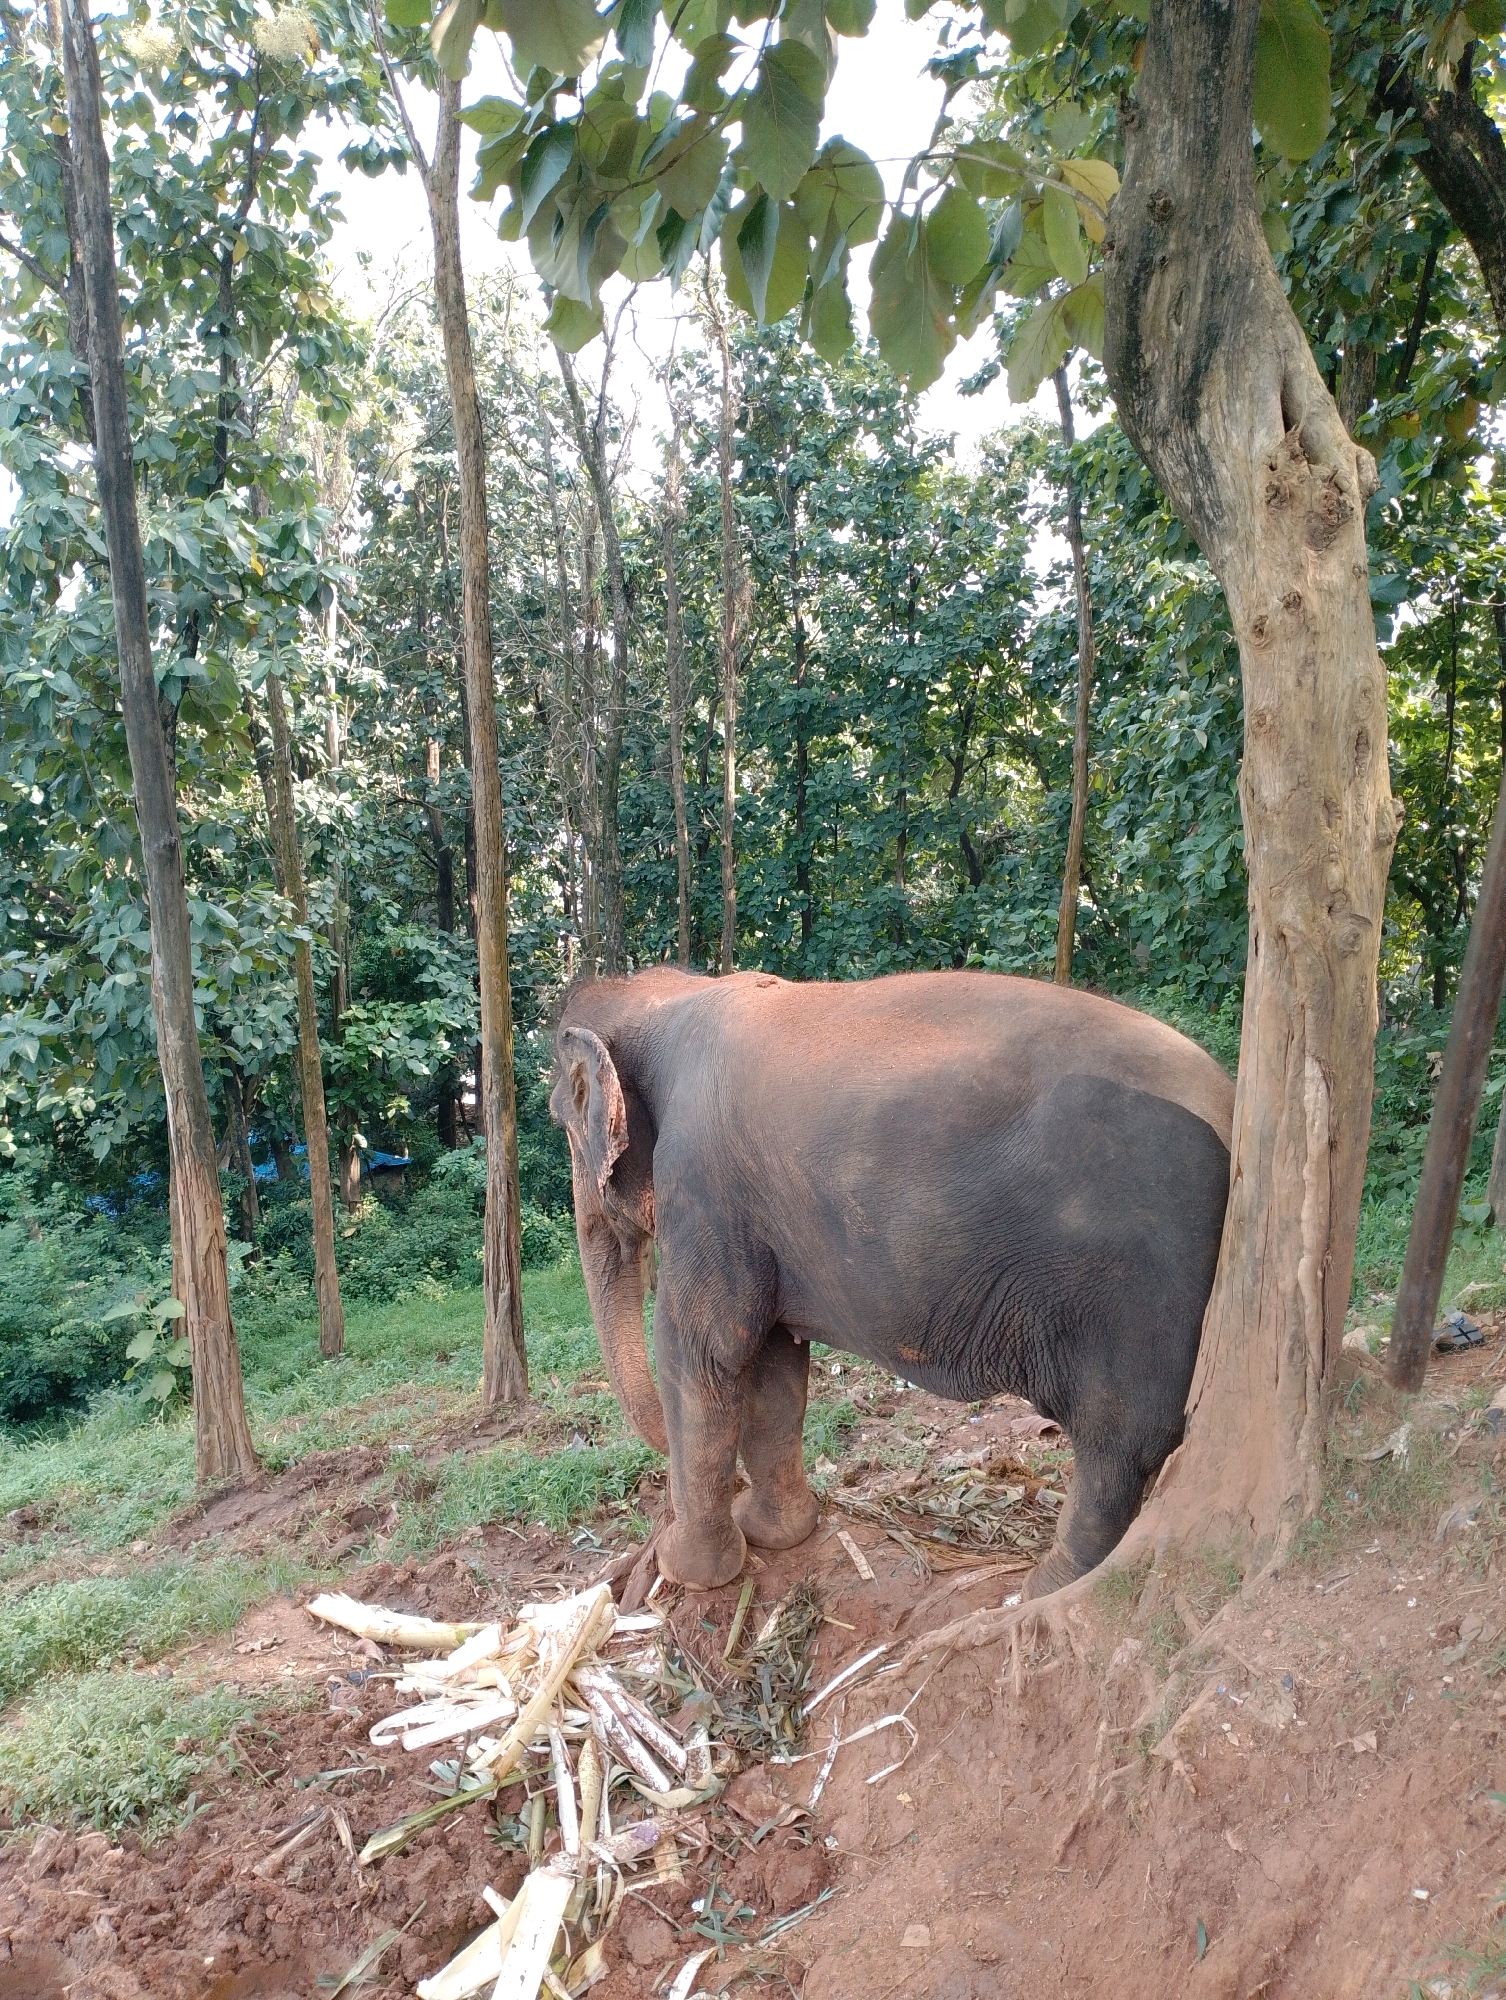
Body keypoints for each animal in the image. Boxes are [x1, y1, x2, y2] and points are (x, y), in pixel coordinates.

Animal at [549, 966, 1234, 1597]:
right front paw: (778, 1535)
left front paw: (688, 1572)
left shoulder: (700, 1186)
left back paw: (1042, 1588)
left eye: (561, 1119)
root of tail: (1232, 1104)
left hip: (1140, 1290)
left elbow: (699, 1352)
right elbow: (774, 1365)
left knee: (1116, 1448)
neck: (670, 992)